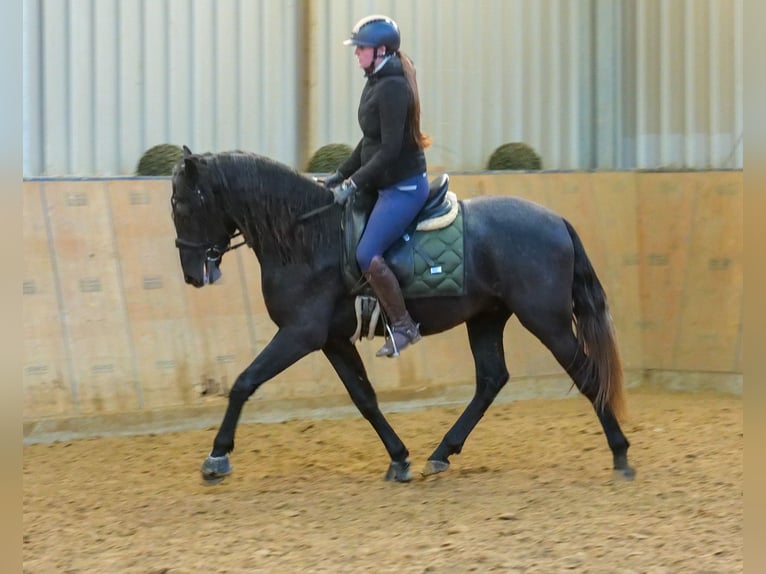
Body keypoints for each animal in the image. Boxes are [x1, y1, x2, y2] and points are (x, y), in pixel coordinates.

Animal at [172, 147, 636, 486]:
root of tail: (557, 220)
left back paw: (620, 454)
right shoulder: (331, 339)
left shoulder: (301, 333)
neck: (306, 238)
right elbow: (364, 398)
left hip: (546, 321)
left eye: (182, 205)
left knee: (586, 373)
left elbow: (244, 382)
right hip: (487, 317)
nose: (193, 275)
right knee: (491, 379)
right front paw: (399, 459)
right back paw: (441, 453)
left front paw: (217, 456)